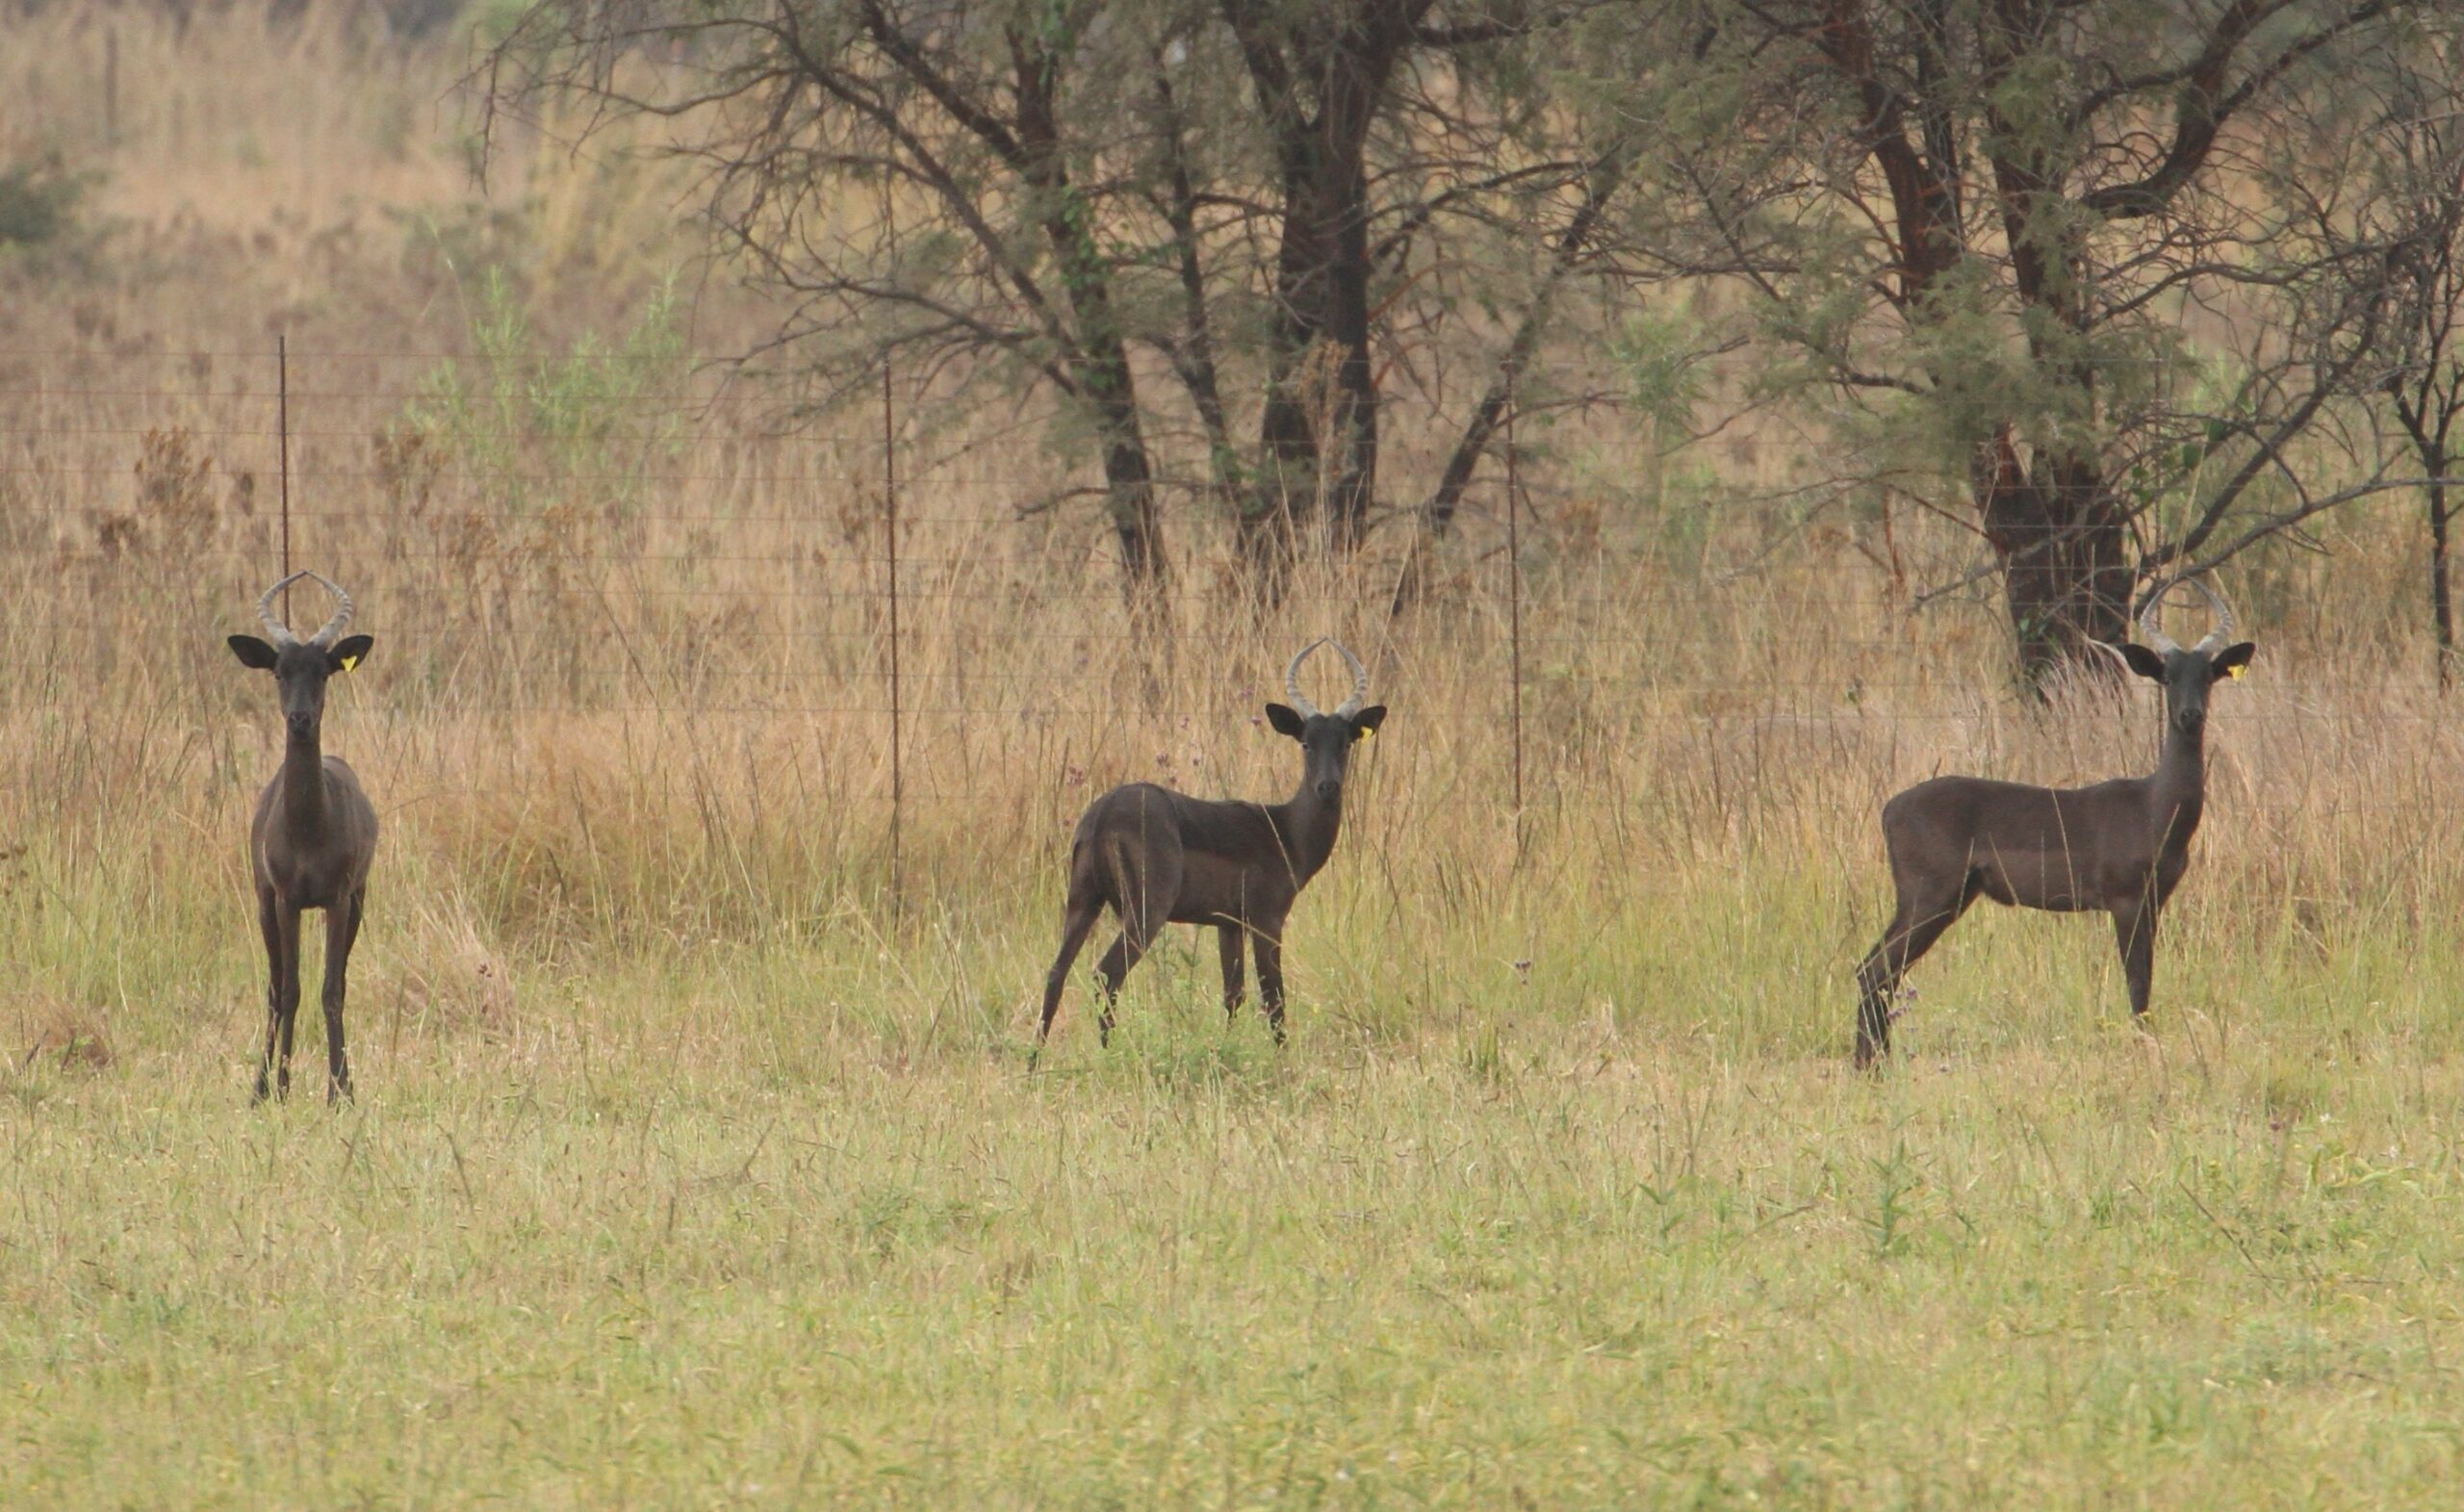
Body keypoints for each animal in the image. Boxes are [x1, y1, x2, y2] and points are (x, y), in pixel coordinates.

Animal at [226, 572, 378, 1103]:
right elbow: (289, 990)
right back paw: (260, 1088)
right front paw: (277, 1089)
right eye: (279, 672)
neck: (310, 829)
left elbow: (332, 990)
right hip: (263, 905)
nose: (299, 720)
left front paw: (342, 1093)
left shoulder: (338, 899)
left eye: (325, 672)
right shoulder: (286, 899)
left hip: (357, 903)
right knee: (275, 988)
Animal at [1037, 639, 1387, 1049]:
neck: (1285, 831)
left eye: (1346, 743)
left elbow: (1233, 995)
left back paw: (1035, 1059)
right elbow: (1274, 999)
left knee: (1056, 973)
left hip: (1082, 900)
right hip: (1145, 911)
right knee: (1106, 974)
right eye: (1305, 743)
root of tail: (1102, 813)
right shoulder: (1267, 920)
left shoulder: (1227, 924)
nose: (1327, 787)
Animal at [1852, 580, 2255, 1068]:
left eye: (2208, 675)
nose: (2190, 715)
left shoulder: (2154, 903)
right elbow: (2137, 984)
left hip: (1947, 899)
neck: (2155, 807)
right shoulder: (2125, 902)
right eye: (2167, 676)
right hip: (1929, 896)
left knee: (1878, 972)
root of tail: (1889, 808)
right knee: (1873, 970)